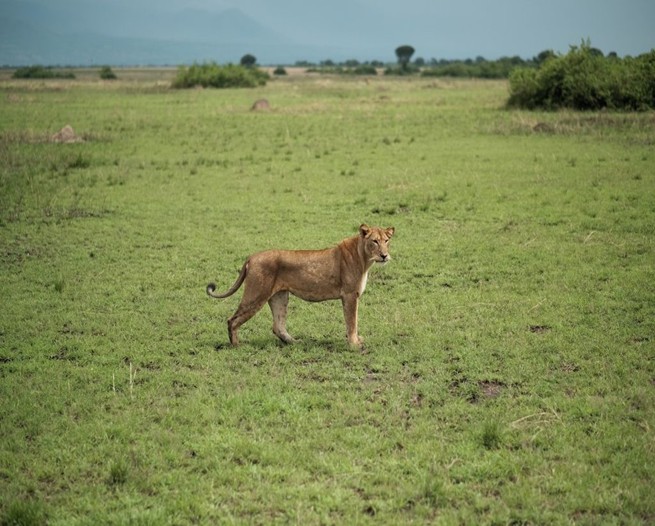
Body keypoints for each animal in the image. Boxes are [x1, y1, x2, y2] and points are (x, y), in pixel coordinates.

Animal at [206, 224, 395, 347]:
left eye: (386, 241)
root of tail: (251, 257)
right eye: (374, 241)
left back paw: (295, 342)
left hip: (280, 296)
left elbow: (352, 320)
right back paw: (236, 345)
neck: (364, 259)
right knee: (232, 320)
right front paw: (354, 344)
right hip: (256, 294)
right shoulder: (349, 295)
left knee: (278, 326)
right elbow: (352, 321)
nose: (384, 256)